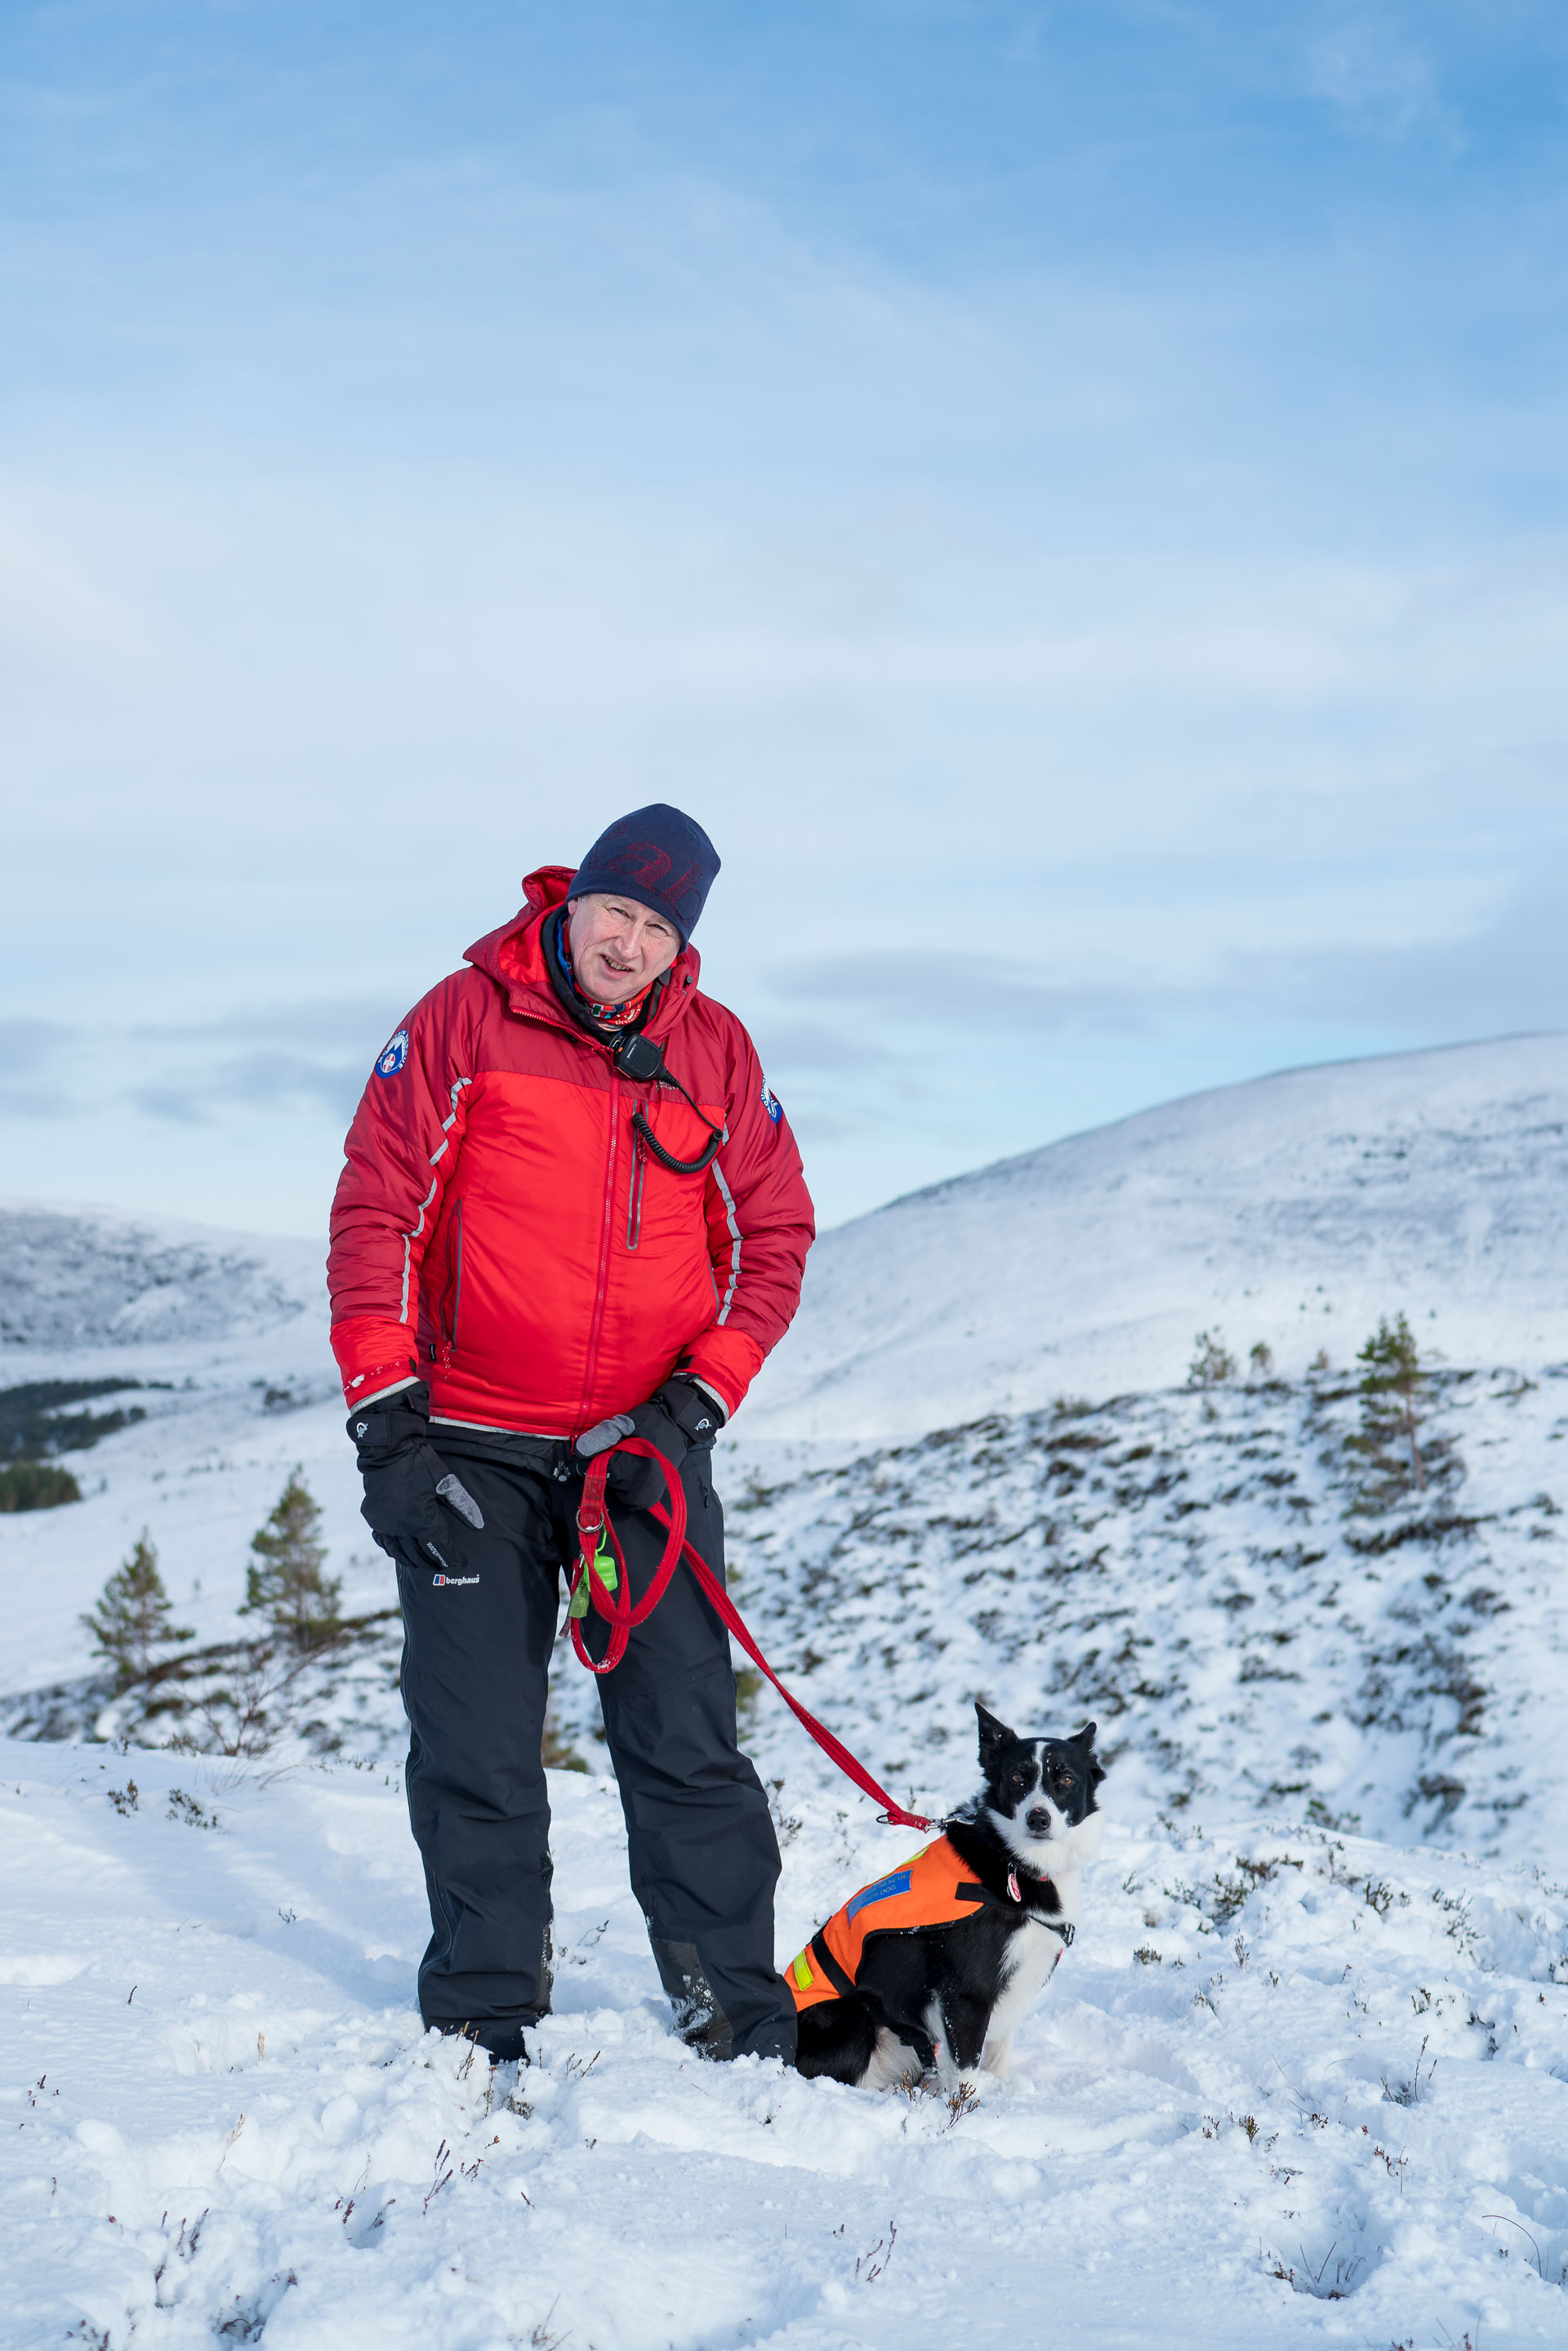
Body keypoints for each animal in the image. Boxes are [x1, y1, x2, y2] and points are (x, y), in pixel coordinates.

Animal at [785, 1711, 1104, 2097]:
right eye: (1017, 1778)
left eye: (1066, 1779)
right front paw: (966, 2110)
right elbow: (966, 2071)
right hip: (853, 2018)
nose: (1038, 1818)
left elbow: (998, 2058)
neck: (1012, 1861)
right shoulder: (966, 1994)